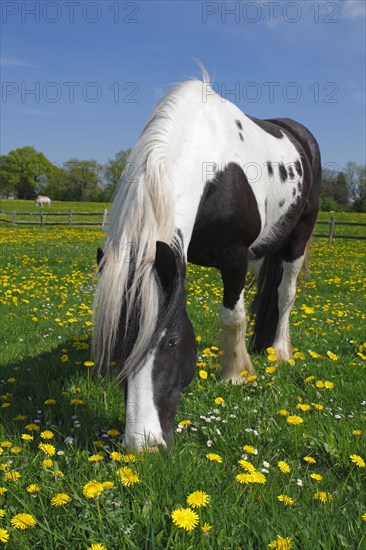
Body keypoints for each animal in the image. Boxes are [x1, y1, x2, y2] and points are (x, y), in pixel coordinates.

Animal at [92, 74, 320, 452]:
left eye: (171, 342)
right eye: (119, 340)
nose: (143, 444)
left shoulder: (235, 256)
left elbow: (233, 316)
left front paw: (234, 375)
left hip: (297, 238)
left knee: (285, 293)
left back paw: (279, 350)